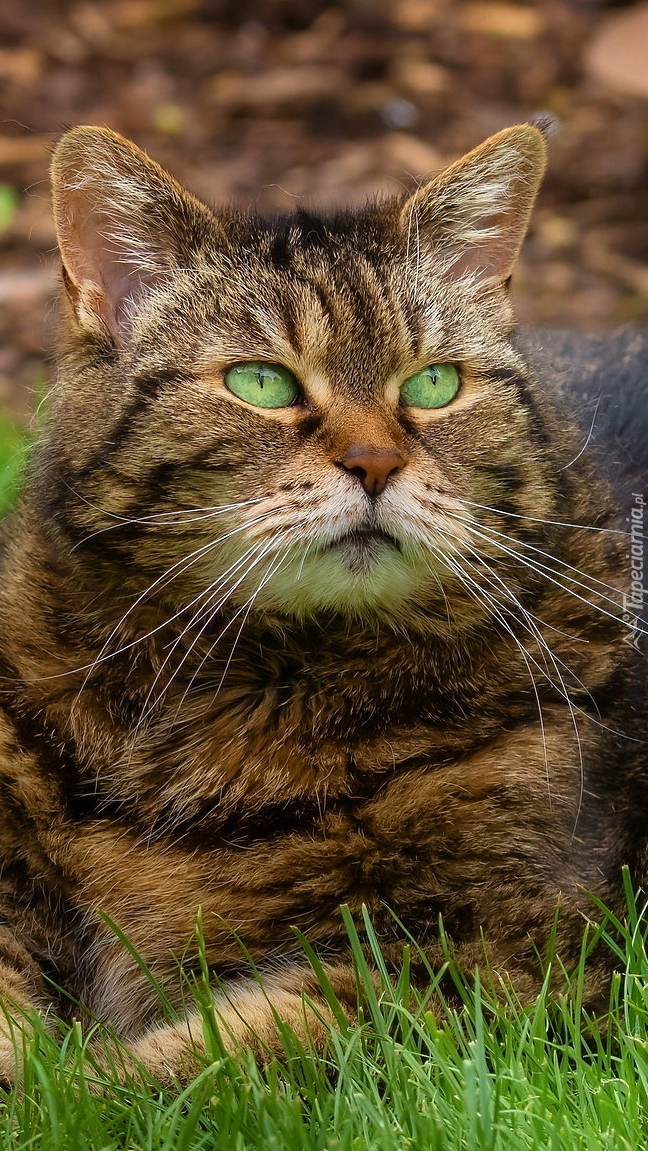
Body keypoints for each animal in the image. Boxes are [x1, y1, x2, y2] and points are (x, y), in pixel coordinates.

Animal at [0, 118, 646, 1085]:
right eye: (262, 382)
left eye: (434, 383)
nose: (375, 463)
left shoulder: (514, 960)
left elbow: (193, 1066)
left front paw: (73, 1086)